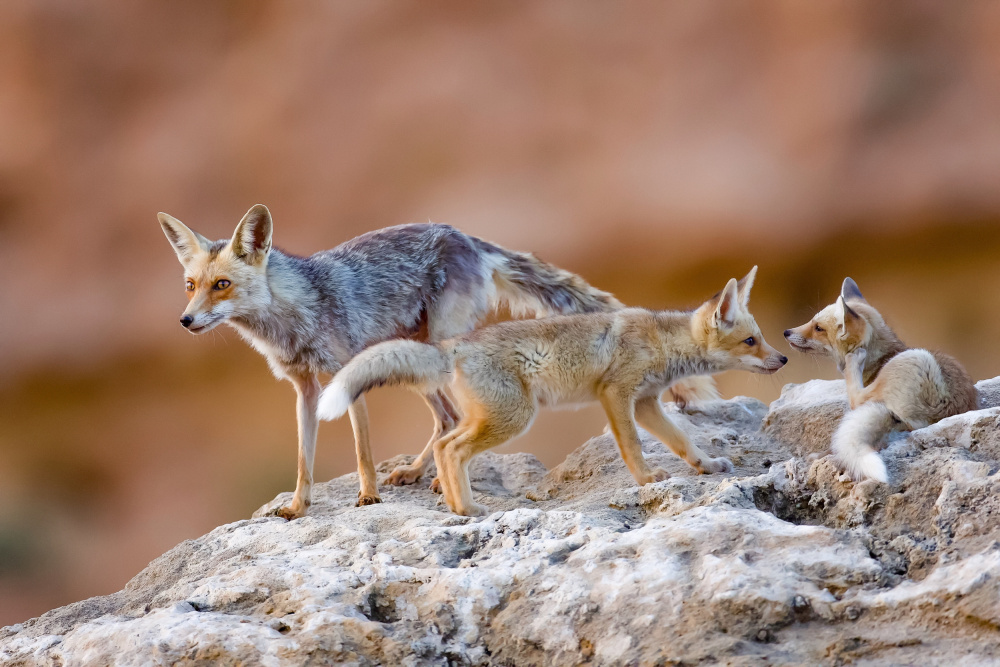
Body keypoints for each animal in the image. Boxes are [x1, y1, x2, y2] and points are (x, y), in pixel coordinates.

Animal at [158, 204, 717, 519]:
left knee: (452, 418)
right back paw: (421, 474)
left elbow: (362, 448)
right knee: (448, 420)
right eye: (190, 285)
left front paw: (368, 497)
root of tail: (464, 234)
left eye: (222, 285)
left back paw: (430, 478)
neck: (295, 313)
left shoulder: (343, 372)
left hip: (436, 349)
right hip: (415, 361)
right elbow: (302, 458)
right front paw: (298, 506)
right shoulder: (305, 388)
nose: (185, 321)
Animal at [317, 267, 787, 516]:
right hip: (515, 417)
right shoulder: (616, 394)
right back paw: (467, 510)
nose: (782, 358)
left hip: (490, 416)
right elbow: (633, 446)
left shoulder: (646, 402)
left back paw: (455, 505)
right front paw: (645, 480)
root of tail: (454, 345)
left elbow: (684, 441)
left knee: (443, 444)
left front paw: (707, 465)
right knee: (451, 449)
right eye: (751, 341)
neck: (660, 340)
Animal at [784, 277, 978, 483]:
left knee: (855, 399)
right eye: (811, 320)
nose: (786, 332)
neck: (880, 358)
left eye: (818, 328)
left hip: (916, 359)